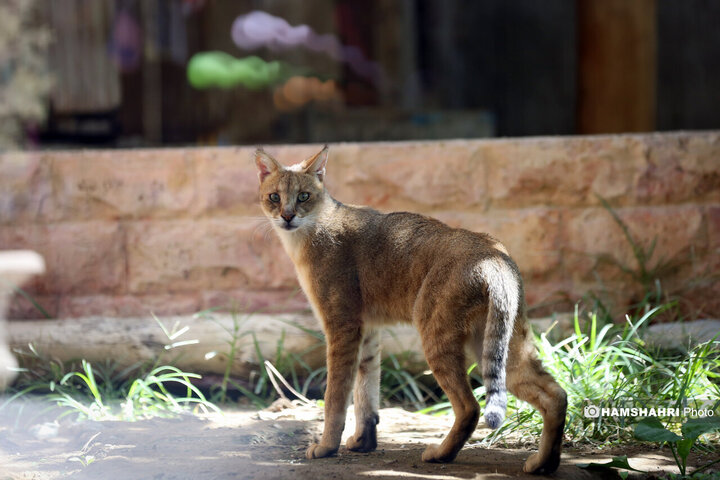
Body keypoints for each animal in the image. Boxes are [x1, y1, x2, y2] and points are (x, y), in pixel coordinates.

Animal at [253, 145, 568, 472]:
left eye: (303, 196)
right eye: (274, 196)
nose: (287, 216)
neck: (308, 233)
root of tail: (493, 255)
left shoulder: (342, 326)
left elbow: (336, 395)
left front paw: (327, 447)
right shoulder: (367, 328)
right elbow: (366, 389)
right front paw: (363, 442)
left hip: (436, 335)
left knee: (470, 407)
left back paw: (440, 454)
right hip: (503, 344)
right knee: (556, 395)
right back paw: (543, 464)